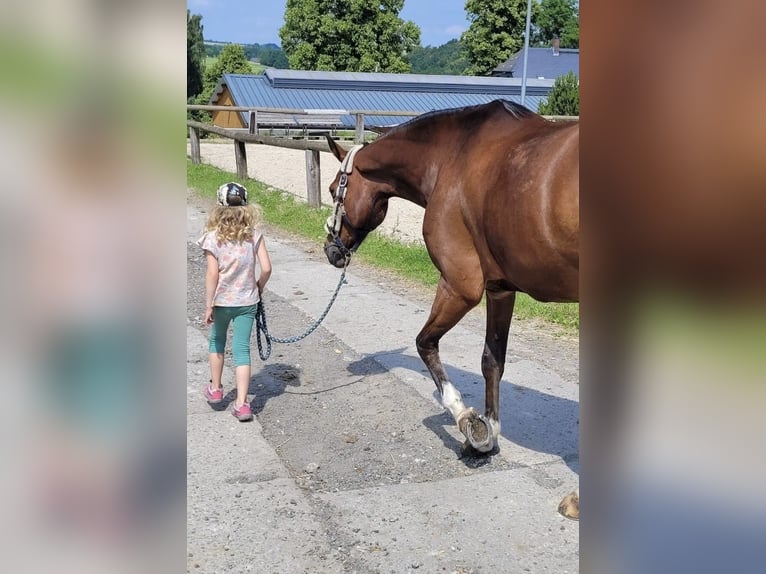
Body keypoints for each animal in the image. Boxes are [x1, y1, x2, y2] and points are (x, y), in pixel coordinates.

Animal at [322, 100, 580, 517]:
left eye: (333, 189)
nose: (331, 249)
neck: (451, 156)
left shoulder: (460, 286)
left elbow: (425, 344)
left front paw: (467, 422)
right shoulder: (500, 290)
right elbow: (492, 361)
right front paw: (487, 437)